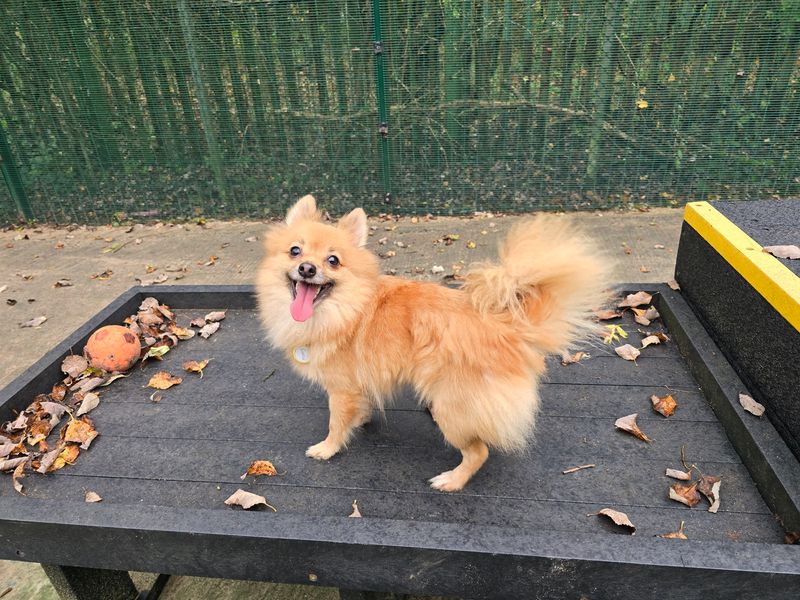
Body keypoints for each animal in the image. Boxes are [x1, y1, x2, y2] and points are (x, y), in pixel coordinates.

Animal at [256, 195, 608, 490]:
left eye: (333, 260)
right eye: (295, 251)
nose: (307, 268)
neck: (344, 309)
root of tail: (506, 325)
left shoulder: (341, 389)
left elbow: (335, 423)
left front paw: (327, 448)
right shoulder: (359, 385)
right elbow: (361, 407)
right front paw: (360, 420)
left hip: (450, 408)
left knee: (479, 451)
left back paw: (452, 481)